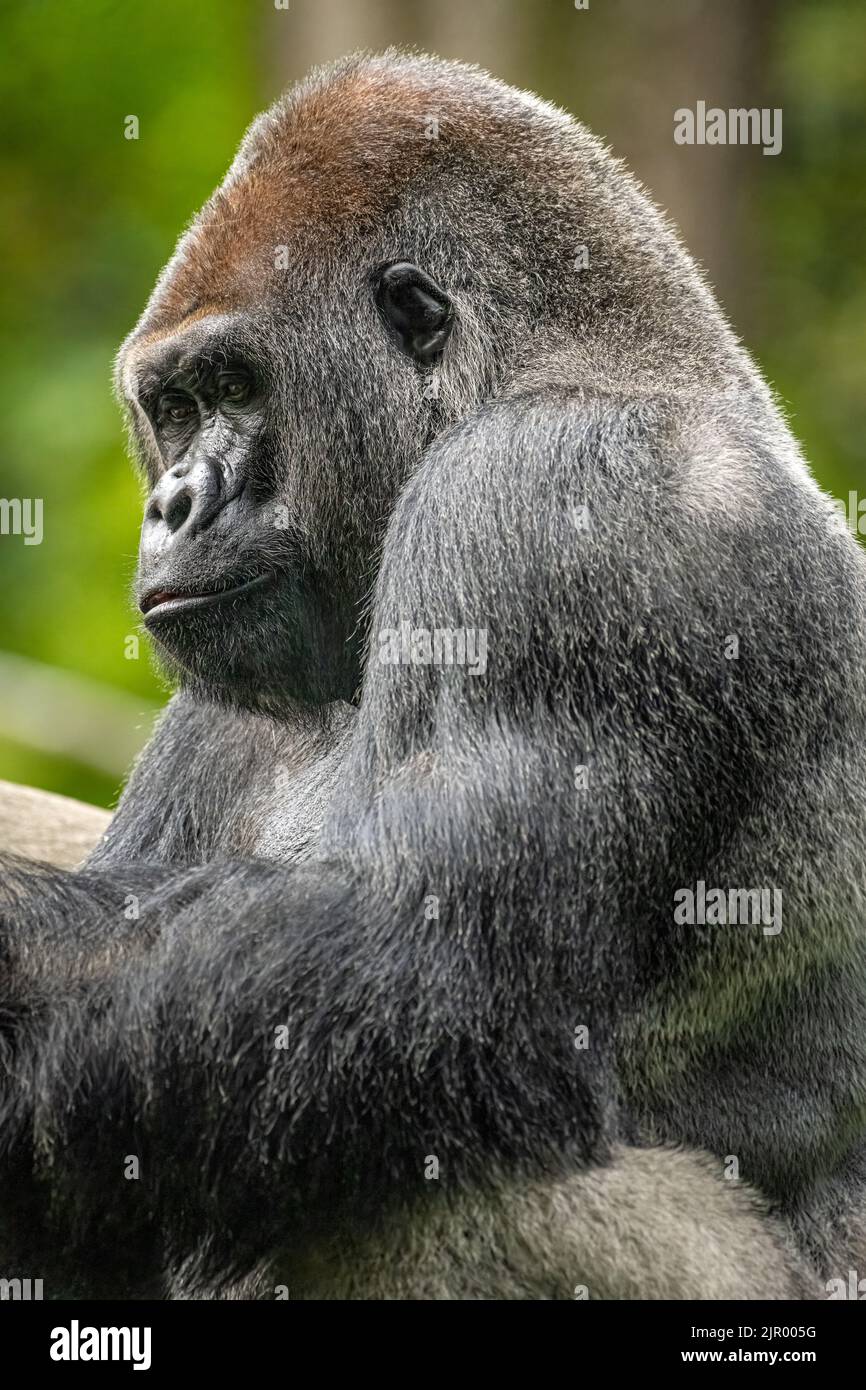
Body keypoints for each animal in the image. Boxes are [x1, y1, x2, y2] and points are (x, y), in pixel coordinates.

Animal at [1, 46, 866, 1301]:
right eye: (172, 407)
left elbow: (437, 973)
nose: (172, 504)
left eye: (234, 387)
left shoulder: (550, 500)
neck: (565, 359)